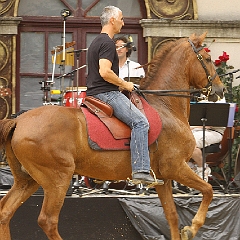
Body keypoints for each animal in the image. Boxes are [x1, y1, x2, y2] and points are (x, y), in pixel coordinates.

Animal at [0, 32, 225, 240]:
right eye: (207, 59)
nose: (221, 89)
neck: (165, 106)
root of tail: (19, 121)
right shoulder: (176, 167)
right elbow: (208, 190)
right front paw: (192, 228)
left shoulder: (164, 177)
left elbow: (172, 215)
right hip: (58, 178)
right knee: (47, 220)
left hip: (27, 180)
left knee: (5, 211)